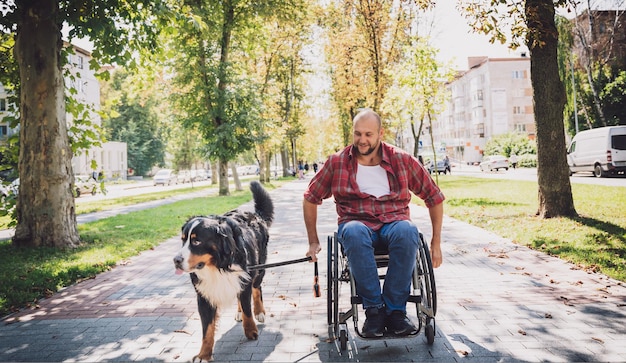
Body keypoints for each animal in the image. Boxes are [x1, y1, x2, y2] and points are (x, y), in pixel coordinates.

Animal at [176, 181, 272, 362]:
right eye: (183, 240)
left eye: (197, 241)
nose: (176, 260)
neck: (217, 266)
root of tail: (254, 214)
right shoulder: (204, 295)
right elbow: (207, 329)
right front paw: (204, 354)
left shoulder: (244, 280)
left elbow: (247, 309)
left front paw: (251, 331)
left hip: (259, 268)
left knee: (257, 289)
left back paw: (259, 312)